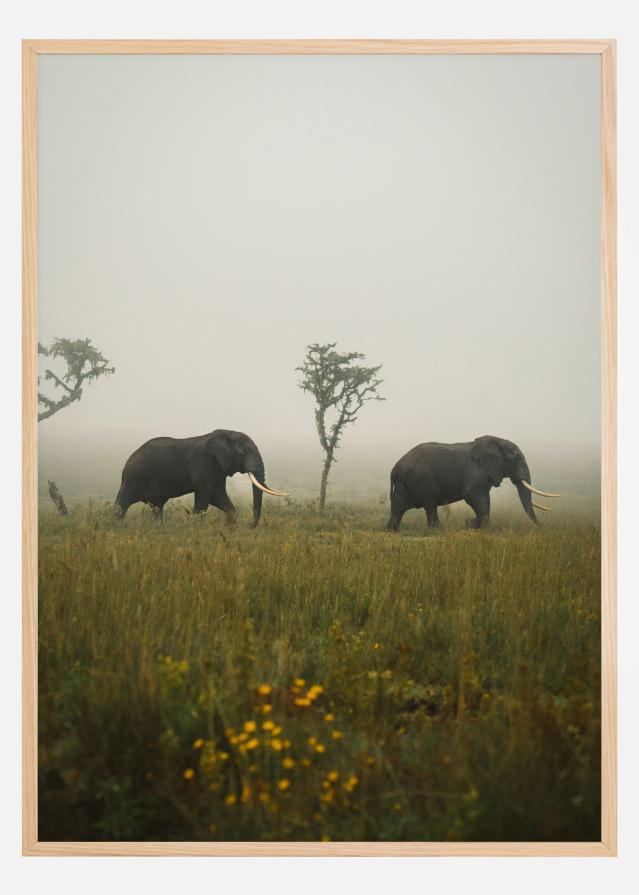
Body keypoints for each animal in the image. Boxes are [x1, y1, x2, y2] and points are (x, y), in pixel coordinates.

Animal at [115, 429, 288, 525]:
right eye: (244, 452)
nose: (251, 527)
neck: (226, 435)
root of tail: (125, 465)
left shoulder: (219, 468)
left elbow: (218, 497)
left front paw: (231, 527)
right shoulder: (204, 463)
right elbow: (205, 497)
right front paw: (199, 528)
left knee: (157, 507)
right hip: (136, 476)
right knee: (123, 503)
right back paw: (118, 526)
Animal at [386, 435, 560, 531]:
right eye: (516, 458)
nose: (542, 527)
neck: (496, 442)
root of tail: (395, 468)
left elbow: (486, 499)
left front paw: (475, 526)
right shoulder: (475, 471)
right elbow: (471, 494)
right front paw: (470, 524)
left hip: (405, 483)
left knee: (398, 506)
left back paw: (392, 531)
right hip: (420, 480)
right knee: (429, 504)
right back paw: (436, 531)